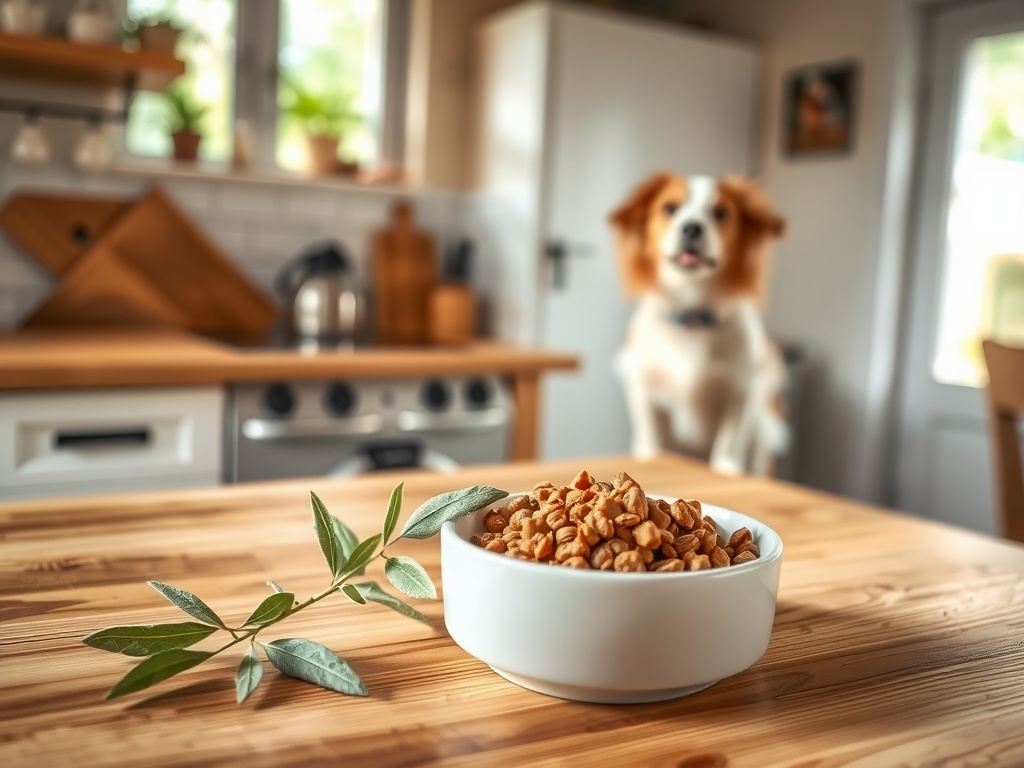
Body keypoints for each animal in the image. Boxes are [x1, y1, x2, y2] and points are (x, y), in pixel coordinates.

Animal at [610, 174, 786, 475]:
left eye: (721, 213)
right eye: (669, 208)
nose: (692, 227)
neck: (691, 316)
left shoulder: (741, 390)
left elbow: (727, 447)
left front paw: (726, 469)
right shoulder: (644, 389)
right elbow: (650, 442)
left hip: (763, 431)